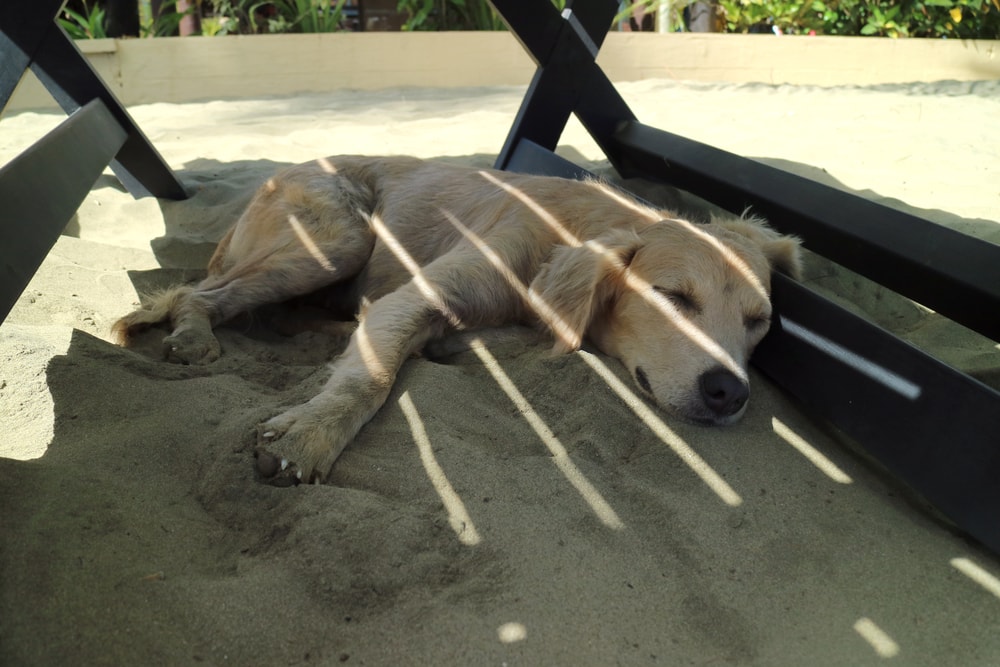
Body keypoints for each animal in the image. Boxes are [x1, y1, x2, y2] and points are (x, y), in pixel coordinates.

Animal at [115, 157, 804, 486]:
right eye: (672, 297)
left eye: (758, 320)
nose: (728, 392)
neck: (562, 231)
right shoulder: (420, 293)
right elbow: (370, 379)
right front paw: (309, 435)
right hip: (339, 237)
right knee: (200, 292)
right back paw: (193, 332)